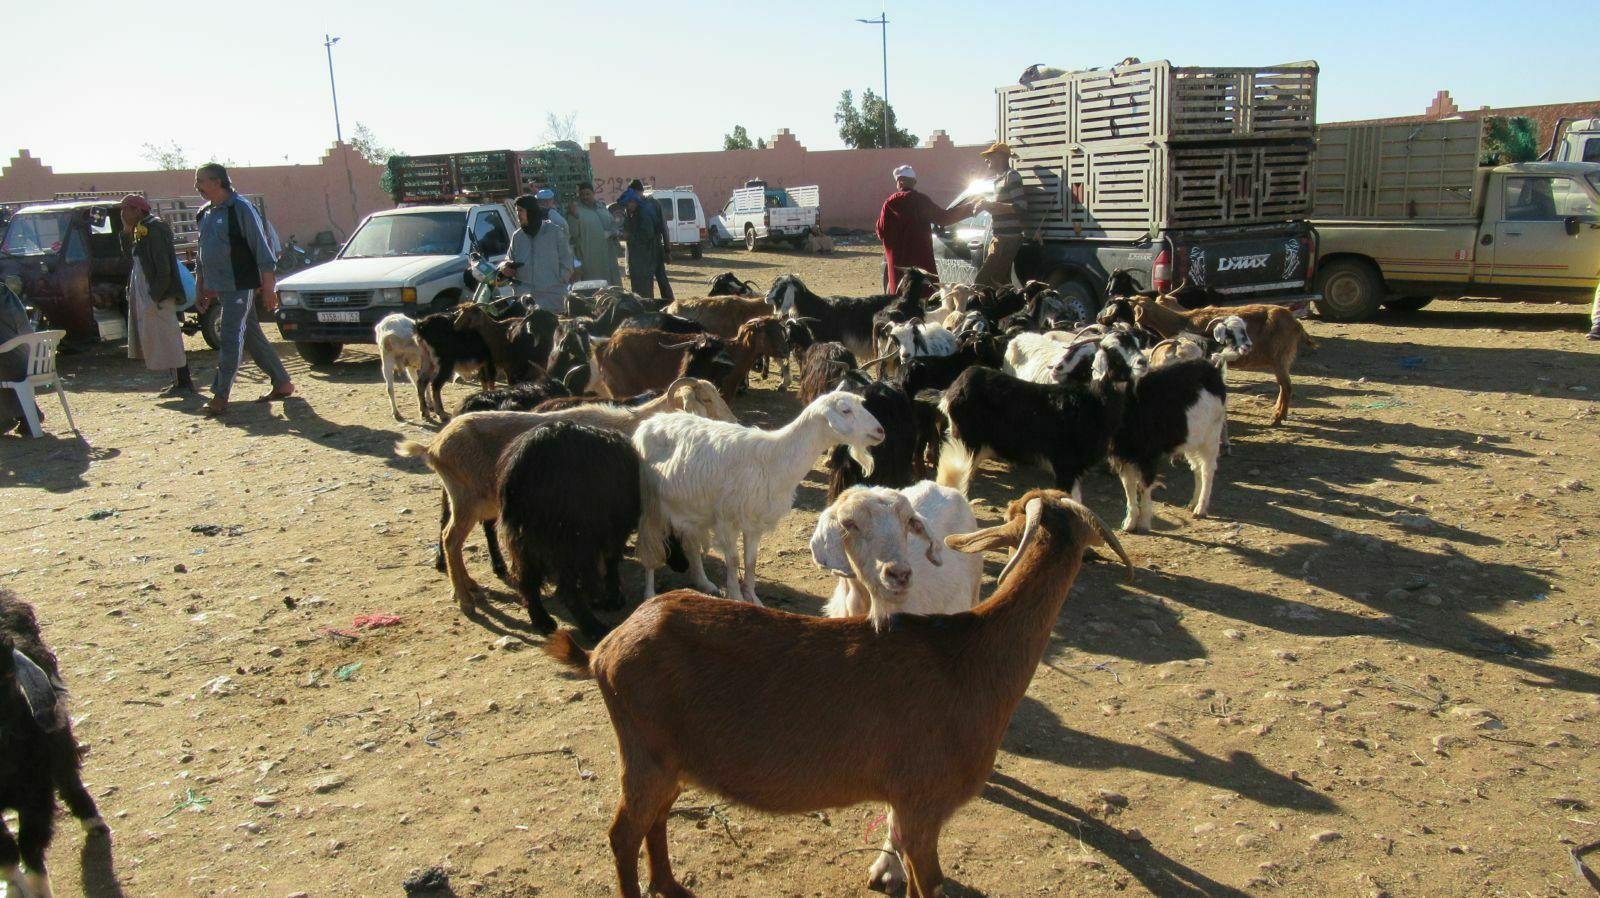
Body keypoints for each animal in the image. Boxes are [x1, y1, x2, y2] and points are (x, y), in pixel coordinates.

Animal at [1, 589, 109, 896]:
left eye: (7, 676)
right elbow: (6, 851)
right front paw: (15, 886)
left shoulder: (36, 791)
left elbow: (29, 844)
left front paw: (38, 888)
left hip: (58, 744)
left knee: (69, 777)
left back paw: (93, 821)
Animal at [396, 374, 732, 611]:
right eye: (705, 398)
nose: (734, 423)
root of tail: (433, 447)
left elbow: (690, 544)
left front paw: (705, 584)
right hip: (465, 500)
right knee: (450, 539)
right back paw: (464, 597)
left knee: (453, 538)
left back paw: (471, 587)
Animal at [502, 419, 646, 637]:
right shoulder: (610, 529)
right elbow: (611, 561)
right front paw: (611, 598)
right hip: (569, 538)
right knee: (567, 591)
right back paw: (594, 628)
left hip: (524, 541)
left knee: (527, 581)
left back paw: (542, 620)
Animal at [544, 489, 1132, 896]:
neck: (974, 657)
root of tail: (603, 651)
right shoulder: (922, 801)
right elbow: (929, 882)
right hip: (643, 752)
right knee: (623, 833)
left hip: (670, 759)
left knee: (656, 820)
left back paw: (672, 886)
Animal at [633, 387, 889, 601]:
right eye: (845, 410)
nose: (880, 431)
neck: (775, 458)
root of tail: (650, 422)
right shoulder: (726, 519)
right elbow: (733, 560)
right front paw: (736, 598)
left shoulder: (753, 521)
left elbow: (750, 561)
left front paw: (753, 599)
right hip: (651, 503)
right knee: (650, 546)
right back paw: (649, 593)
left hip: (689, 505)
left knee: (691, 543)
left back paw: (704, 583)